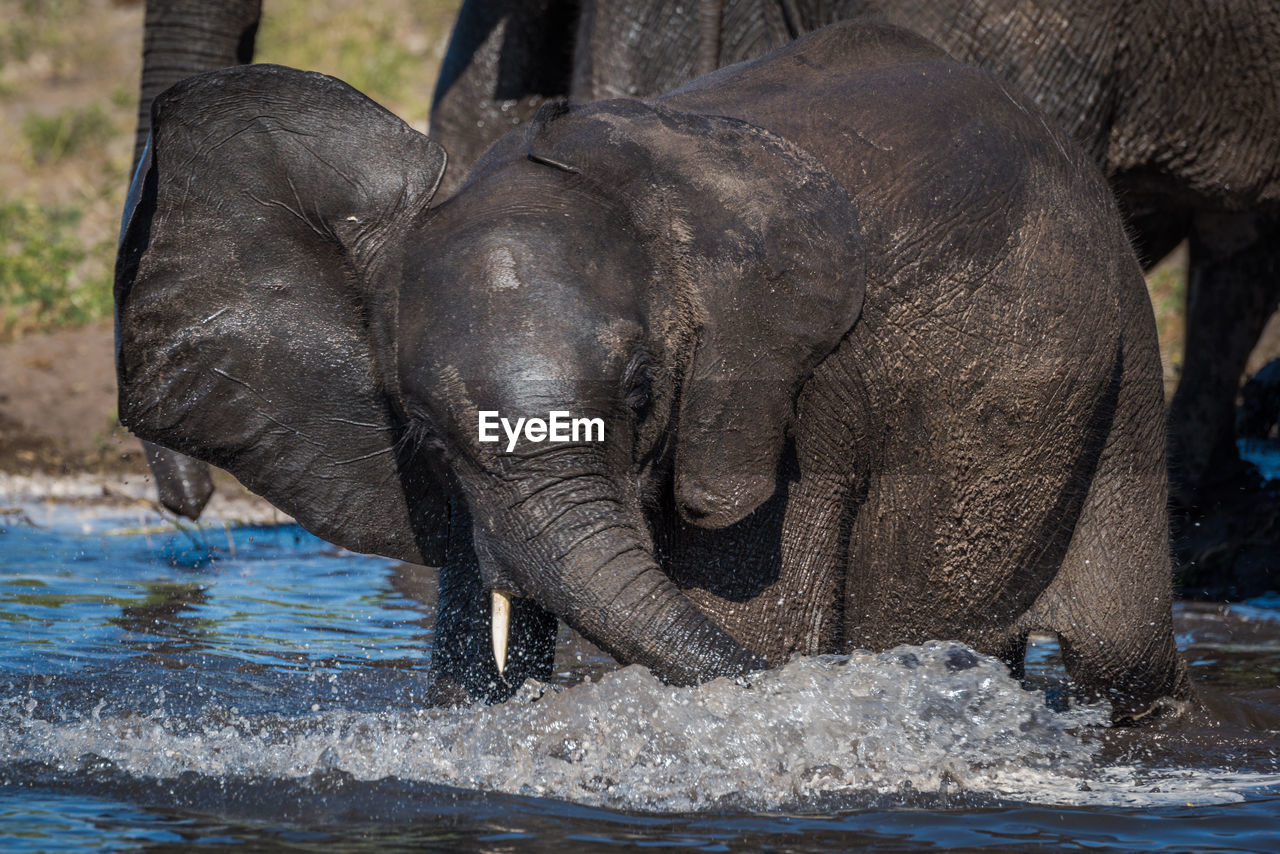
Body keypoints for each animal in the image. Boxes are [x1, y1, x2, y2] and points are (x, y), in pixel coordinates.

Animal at [117, 20, 1187, 722]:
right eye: (420, 429)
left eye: (641, 393)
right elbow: (473, 661)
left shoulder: (784, 411)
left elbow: (761, 630)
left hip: (1116, 356)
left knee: (1117, 649)